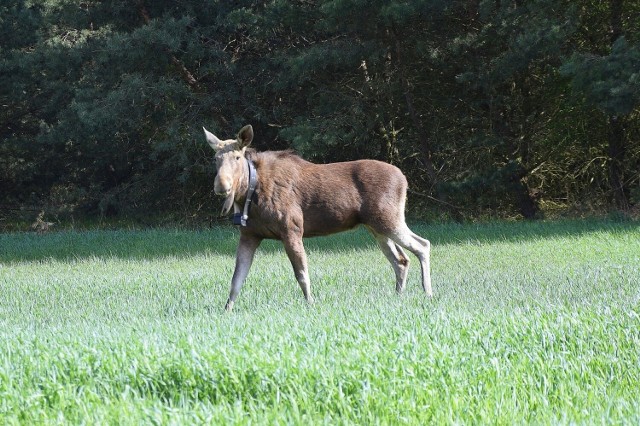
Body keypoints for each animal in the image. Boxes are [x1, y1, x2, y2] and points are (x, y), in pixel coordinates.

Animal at [205, 125, 432, 312]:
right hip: (376, 227)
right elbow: (236, 279)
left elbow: (302, 274)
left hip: (389, 219)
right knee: (401, 259)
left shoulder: (292, 230)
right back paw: (399, 294)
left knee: (422, 244)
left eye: (237, 157)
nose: (221, 186)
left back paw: (427, 292)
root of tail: (404, 179)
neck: (250, 194)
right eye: (215, 159)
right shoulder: (249, 235)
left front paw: (310, 303)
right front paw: (227, 310)